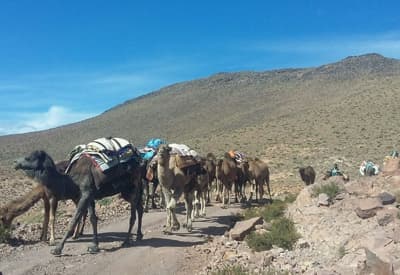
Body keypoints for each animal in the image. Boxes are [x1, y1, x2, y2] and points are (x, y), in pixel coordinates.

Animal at [15, 147, 144, 256]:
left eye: (29, 158)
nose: (16, 163)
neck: (70, 180)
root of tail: (139, 161)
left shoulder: (85, 193)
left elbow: (73, 220)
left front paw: (57, 249)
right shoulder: (89, 195)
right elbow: (93, 219)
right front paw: (94, 246)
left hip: (133, 185)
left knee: (133, 214)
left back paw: (127, 241)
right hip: (126, 190)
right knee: (140, 208)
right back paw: (139, 235)